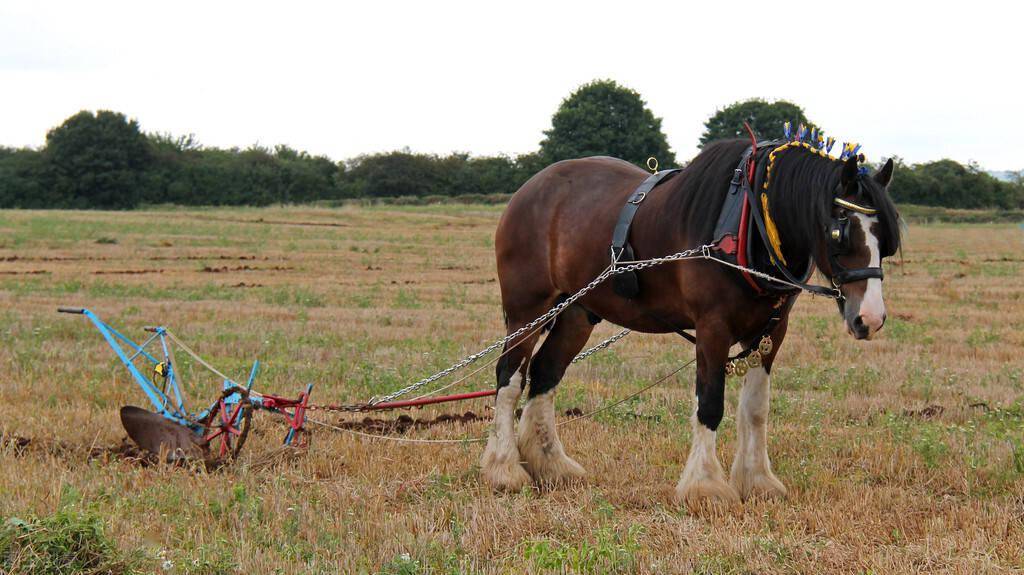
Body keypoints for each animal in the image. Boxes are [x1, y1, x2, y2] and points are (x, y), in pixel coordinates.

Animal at [483, 138, 901, 501]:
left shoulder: (771, 332)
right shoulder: (712, 326)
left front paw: (757, 481)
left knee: (545, 373)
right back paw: (504, 468)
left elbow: (755, 409)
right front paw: (706, 486)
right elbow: (710, 403)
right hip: (528, 309)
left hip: (577, 312)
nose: (871, 318)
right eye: (840, 230)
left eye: (885, 235)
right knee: (510, 377)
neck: (749, 225)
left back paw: (550, 464)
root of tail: (531, 187)